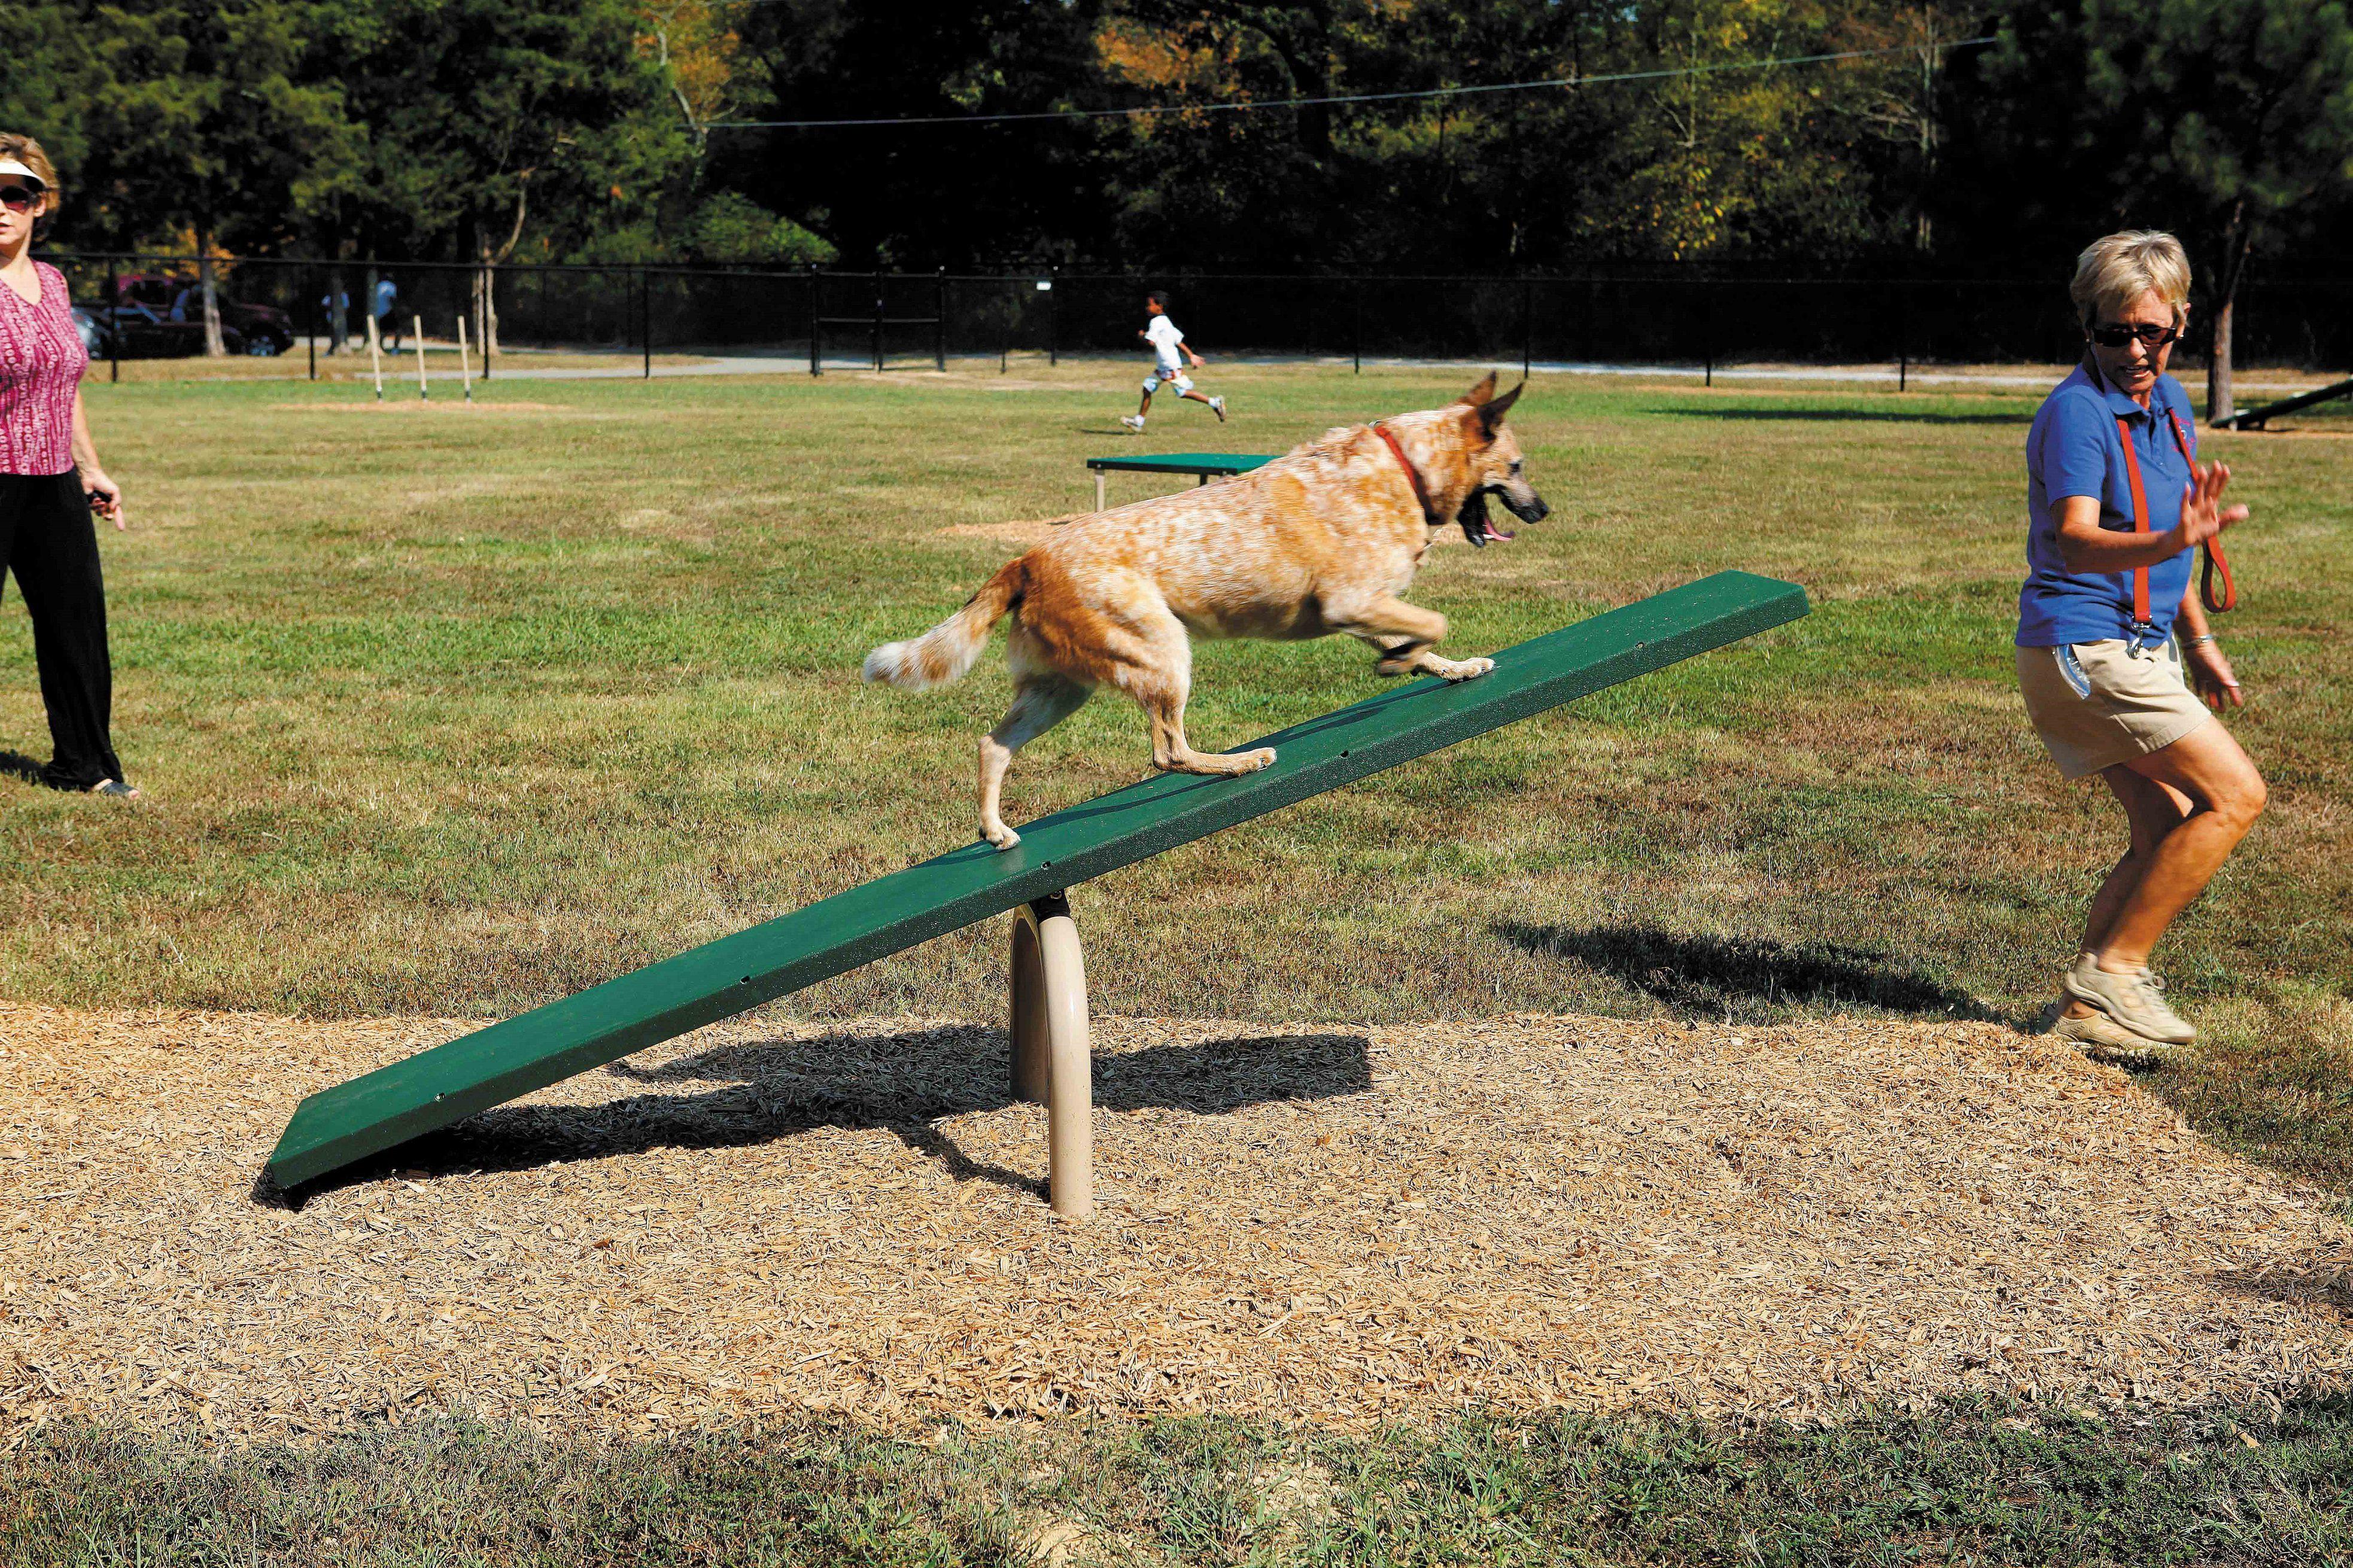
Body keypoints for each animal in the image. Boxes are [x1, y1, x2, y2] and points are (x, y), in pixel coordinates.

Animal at [865, 371, 1543, 846]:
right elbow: (1431, 623)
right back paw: (1241, 761)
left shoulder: (1362, 609)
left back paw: (996, 832)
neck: (1405, 466)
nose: (1542, 510)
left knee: (992, 744)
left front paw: (1451, 667)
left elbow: (1424, 641)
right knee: (1167, 751)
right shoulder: (1350, 601)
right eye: (1515, 466)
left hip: (1061, 689)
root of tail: (1027, 558)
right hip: (1163, 653)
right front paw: (1403, 662)